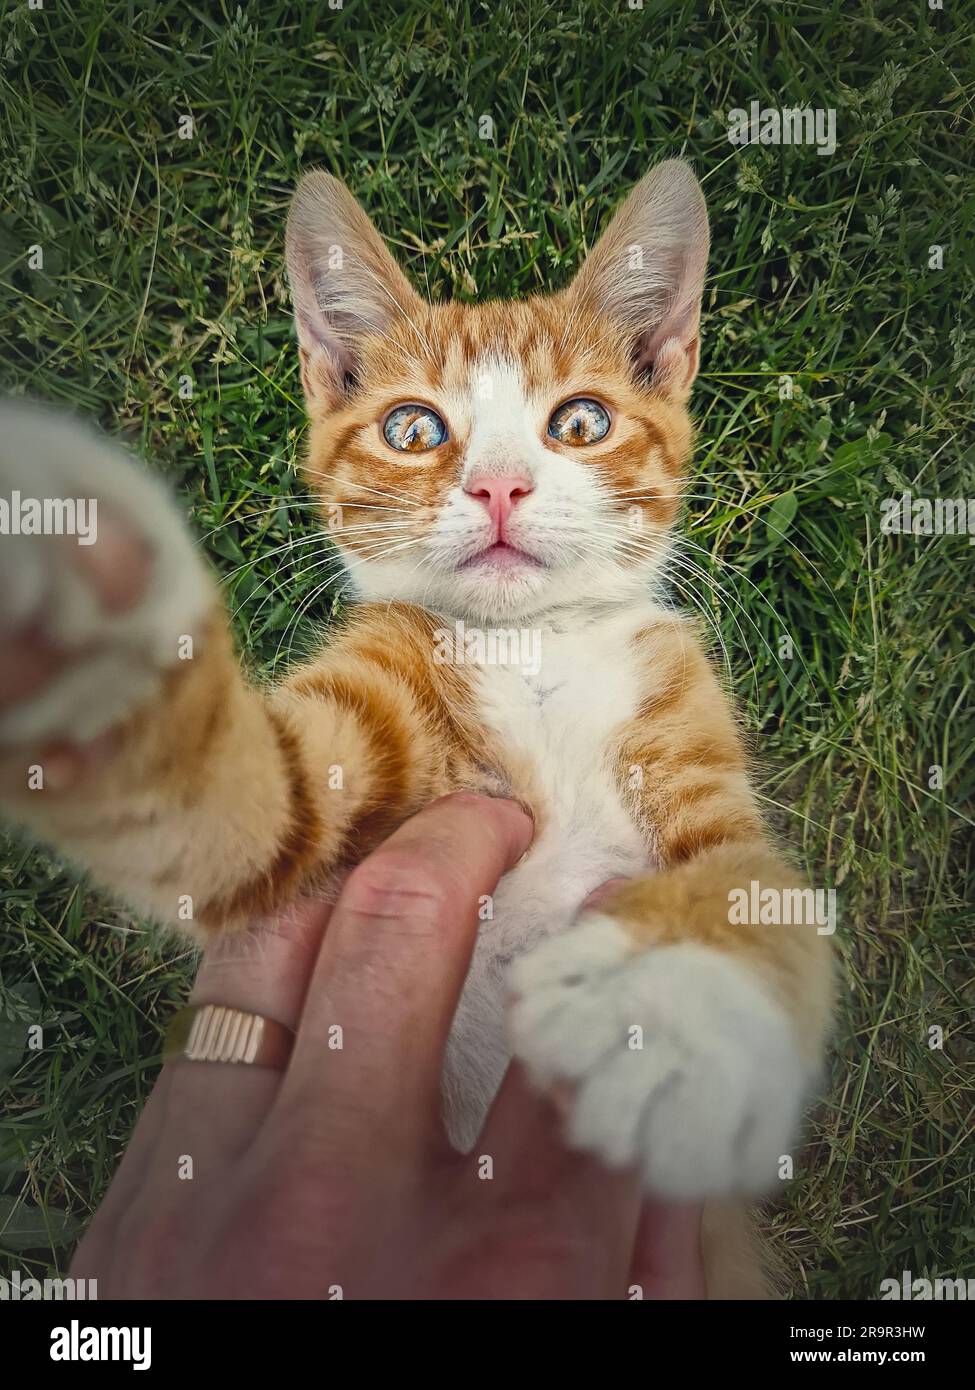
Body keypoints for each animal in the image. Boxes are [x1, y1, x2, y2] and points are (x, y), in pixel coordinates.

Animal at [1, 159, 828, 1289]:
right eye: (413, 430)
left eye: (580, 422)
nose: (498, 485)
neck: (533, 655)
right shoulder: (346, 751)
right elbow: (239, 805)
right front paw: (91, 636)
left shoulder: (684, 724)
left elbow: (757, 891)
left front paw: (674, 1012)